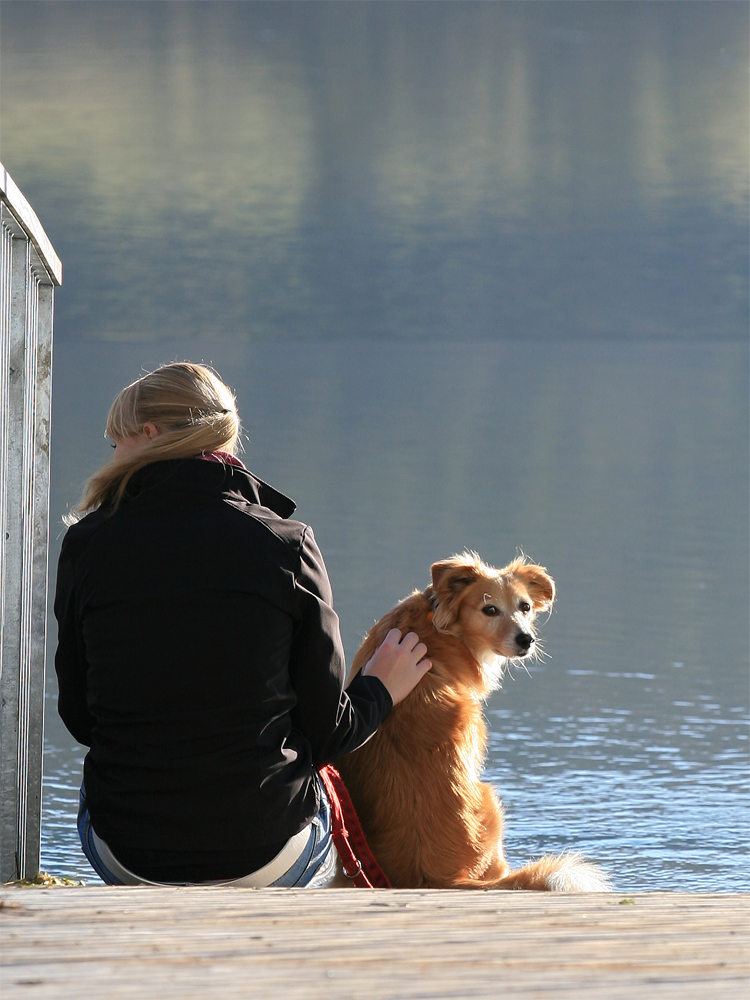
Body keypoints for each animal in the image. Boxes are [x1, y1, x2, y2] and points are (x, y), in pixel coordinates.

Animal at [338, 556, 612, 892]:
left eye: (525, 607)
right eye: (489, 609)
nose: (526, 640)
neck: (441, 628)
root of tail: (440, 878)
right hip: (490, 800)